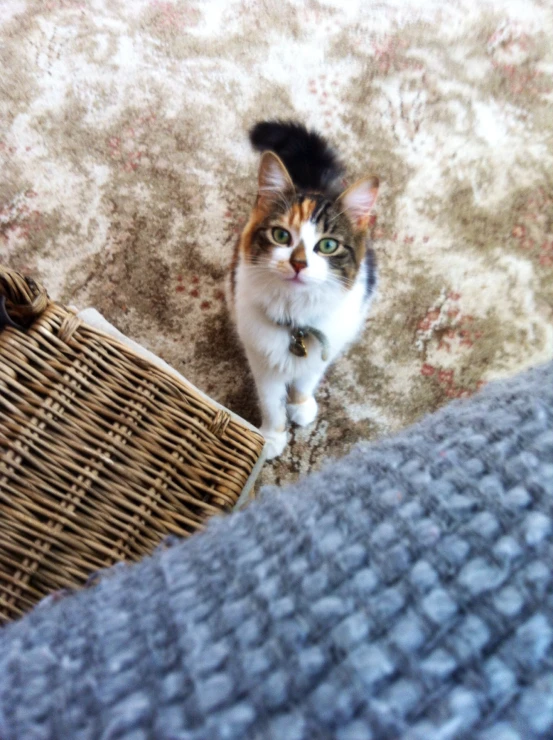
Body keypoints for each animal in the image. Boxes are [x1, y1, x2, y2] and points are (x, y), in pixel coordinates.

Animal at [227, 120, 376, 456]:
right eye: (281, 236)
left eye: (328, 245)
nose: (298, 263)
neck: (296, 316)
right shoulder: (261, 356)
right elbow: (271, 402)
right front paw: (271, 437)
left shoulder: (324, 346)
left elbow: (306, 381)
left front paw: (301, 405)